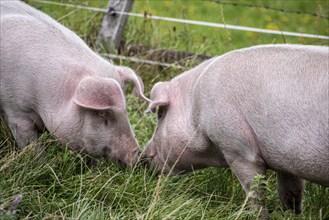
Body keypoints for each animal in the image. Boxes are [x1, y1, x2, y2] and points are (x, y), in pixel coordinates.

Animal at [0, 0, 149, 166]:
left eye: (126, 112)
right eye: (102, 113)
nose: (138, 156)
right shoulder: (16, 111)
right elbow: (31, 145)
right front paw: (43, 164)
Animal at [144, 44, 328, 215]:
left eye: (160, 114)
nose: (144, 156)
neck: (195, 107)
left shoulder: (237, 148)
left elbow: (255, 193)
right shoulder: (285, 160)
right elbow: (291, 192)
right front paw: (291, 214)